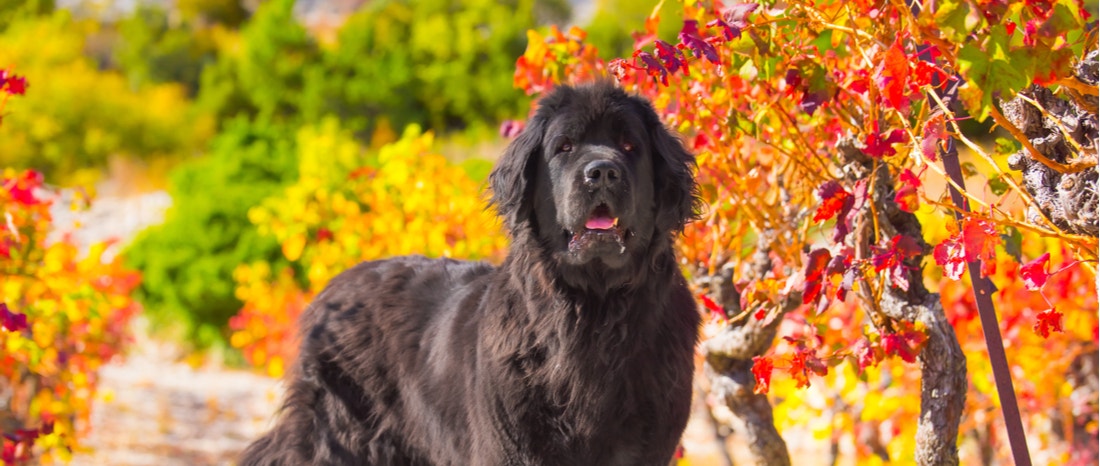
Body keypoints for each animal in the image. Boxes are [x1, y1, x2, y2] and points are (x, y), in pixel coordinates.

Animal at [242, 82, 704, 466]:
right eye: (565, 146)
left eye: (629, 146)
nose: (603, 171)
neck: (593, 310)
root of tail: (334, 285)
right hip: (342, 433)